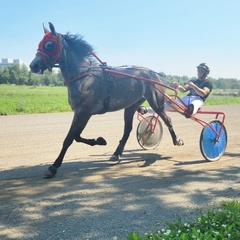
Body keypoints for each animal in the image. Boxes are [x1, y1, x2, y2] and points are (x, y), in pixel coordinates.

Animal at [30, 22, 184, 178]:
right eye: (39, 44)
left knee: (167, 119)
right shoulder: (80, 112)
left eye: (49, 45)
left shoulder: (83, 112)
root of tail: (154, 74)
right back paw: (116, 153)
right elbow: (76, 136)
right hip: (131, 105)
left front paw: (54, 166)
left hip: (156, 101)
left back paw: (176, 140)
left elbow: (70, 138)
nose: (33, 65)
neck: (84, 76)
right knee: (127, 129)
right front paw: (99, 140)